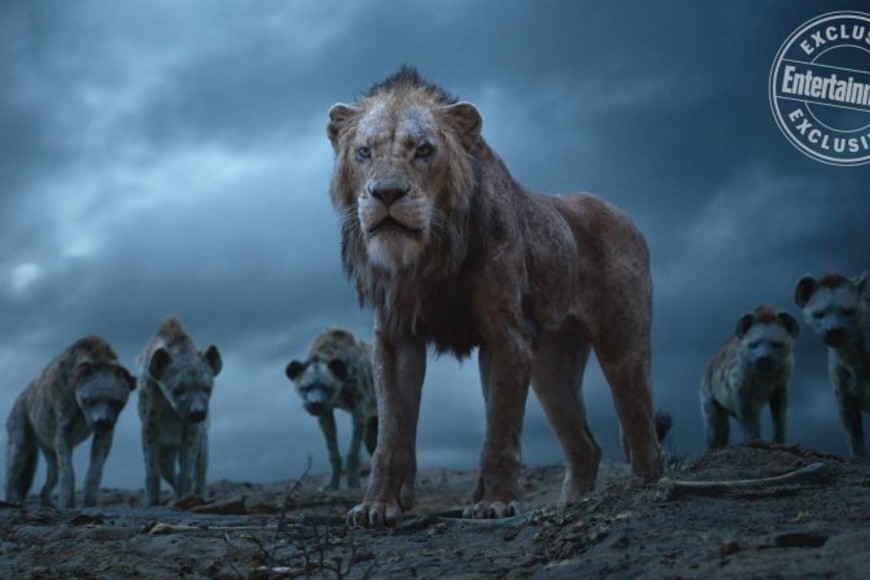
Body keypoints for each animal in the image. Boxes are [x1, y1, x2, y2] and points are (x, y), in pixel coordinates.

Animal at [327, 66, 663, 527]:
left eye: (424, 150)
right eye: (363, 152)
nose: (387, 193)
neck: (429, 256)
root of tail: (627, 218)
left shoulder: (506, 336)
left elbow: (500, 428)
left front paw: (496, 503)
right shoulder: (394, 339)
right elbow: (391, 433)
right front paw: (378, 505)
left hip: (622, 345)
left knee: (640, 421)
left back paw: (647, 487)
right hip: (551, 369)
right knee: (586, 446)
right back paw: (572, 504)